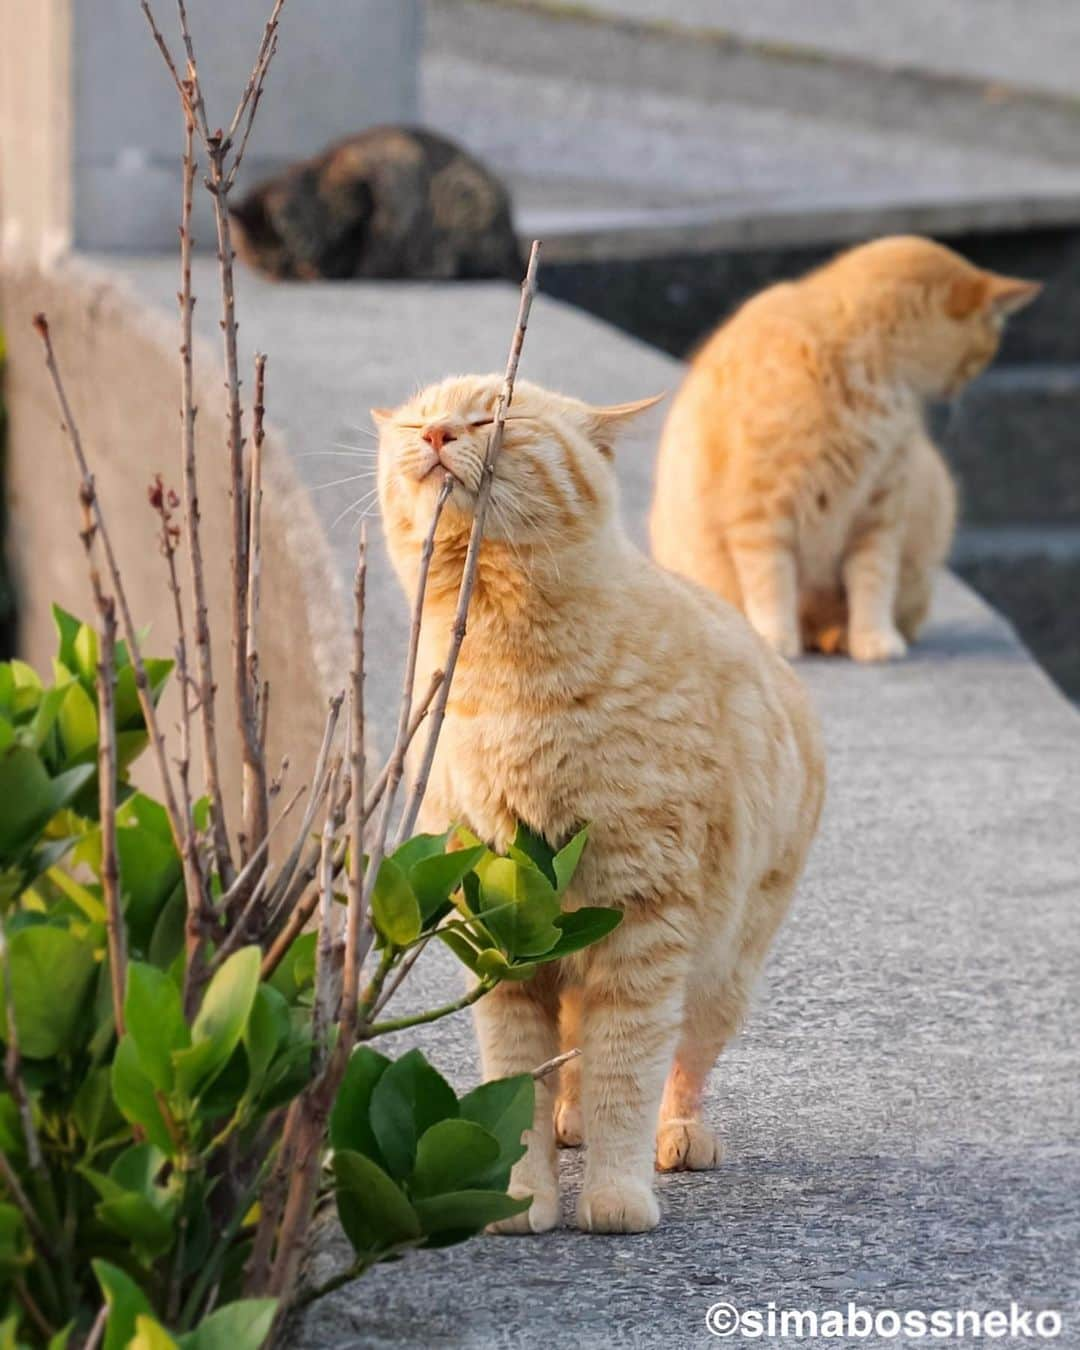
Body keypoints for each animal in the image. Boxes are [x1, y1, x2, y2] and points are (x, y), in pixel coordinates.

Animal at [229, 125, 521, 280]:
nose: (283, 269)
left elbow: (362, 236)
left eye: (287, 243)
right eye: (262, 261)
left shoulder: (372, 185)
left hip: (461, 192)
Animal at [375, 378, 820, 1236]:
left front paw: (615, 1199)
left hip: (720, 969)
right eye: (420, 422)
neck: (506, 671)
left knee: (680, 1064)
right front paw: (521, 1197)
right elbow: (521, 1078)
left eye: (494, 417)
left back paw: (677, 1137)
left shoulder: (644, 921)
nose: (441, 435)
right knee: (572, 1056)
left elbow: (628, 1070)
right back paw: (568, 1122)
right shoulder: (505, 934)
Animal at [650, 244, 1036, 669]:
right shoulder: (759, 509)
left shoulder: (879, 509)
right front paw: (776, 638)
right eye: (986, 347)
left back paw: (840, 635)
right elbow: (771, 582)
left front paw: (873, 638)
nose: (965, 385)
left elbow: (873, 583)